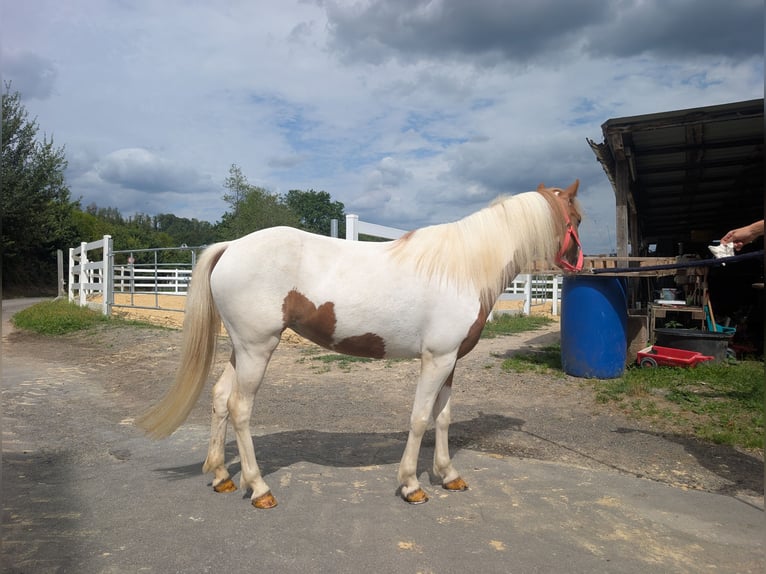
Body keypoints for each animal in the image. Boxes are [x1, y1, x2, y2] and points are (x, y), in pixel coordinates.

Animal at [137, 180, 583, 509]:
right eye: (576, 218)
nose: (582, 262)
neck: (463, 268)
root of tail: (232, 246)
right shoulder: (435, 360)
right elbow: (420, 418)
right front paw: (411, 485)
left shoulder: (451, 361)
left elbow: (442, 418)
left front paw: (449, 475)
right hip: (257, 349)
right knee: (239, 408)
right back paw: (259, 489)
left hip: (241, 349)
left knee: (218, 397)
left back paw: (221, 477)